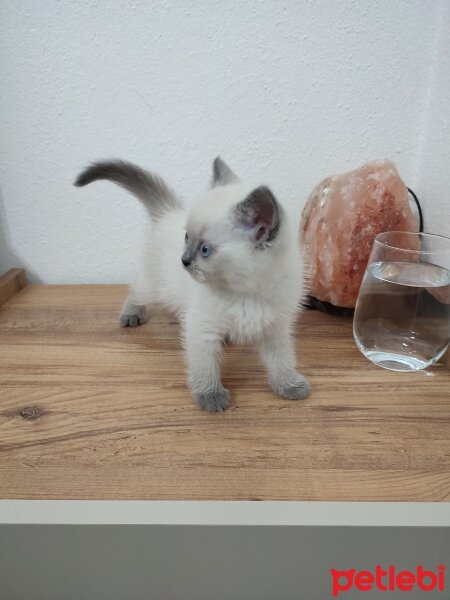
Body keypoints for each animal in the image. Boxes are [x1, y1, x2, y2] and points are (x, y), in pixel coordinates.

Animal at [75, 158, 312, 412]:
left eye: (205, 249)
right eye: (187, 237)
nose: (184, 260)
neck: (247, 291)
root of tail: (168, 213)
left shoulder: (275, 328)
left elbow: (282, 360)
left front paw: (289, 385)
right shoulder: (201, 327)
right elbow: (205, 367)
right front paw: (210, 396)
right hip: (156, 287)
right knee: (137, 289)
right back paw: (131, 315)